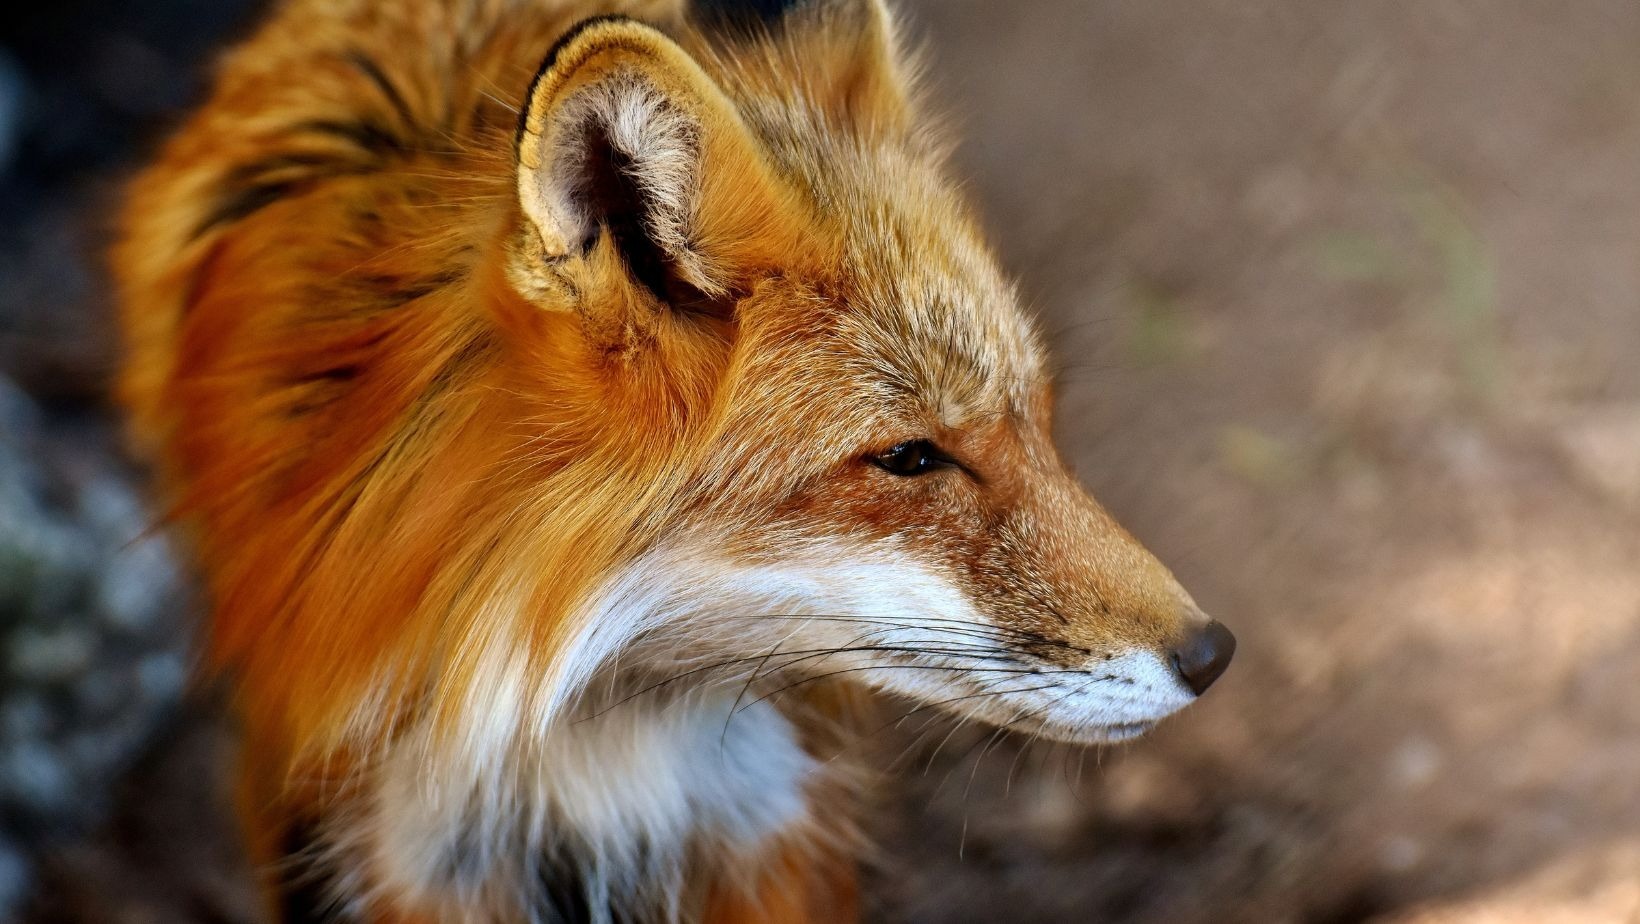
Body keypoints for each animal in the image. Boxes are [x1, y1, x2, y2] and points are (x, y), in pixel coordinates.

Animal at [113, 0, 1235, 920]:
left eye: (1038, 420)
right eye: (911, 457)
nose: (1211, 653)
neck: (576, 723)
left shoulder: (762, 812)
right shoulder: (411, 847)